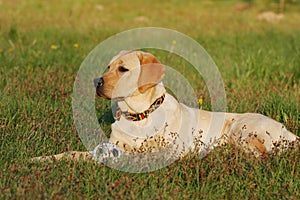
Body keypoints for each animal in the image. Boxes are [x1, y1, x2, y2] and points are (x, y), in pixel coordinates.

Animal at [31, 50, 298, 162]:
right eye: (108, 67)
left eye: (123, 69)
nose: (97, 82)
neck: (139, 115)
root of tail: (291, 134)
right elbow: (73, 153)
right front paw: (41, 159)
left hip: (241, 128)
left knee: (260, 155)